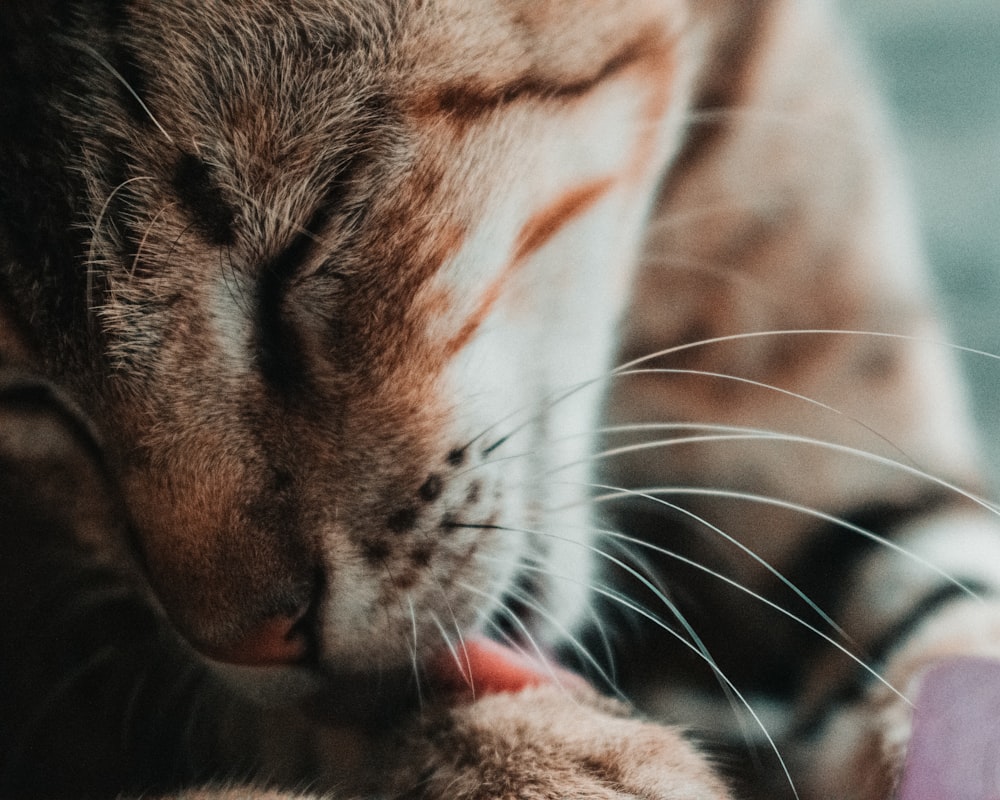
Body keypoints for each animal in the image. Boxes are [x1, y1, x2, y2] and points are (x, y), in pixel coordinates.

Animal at [1, 1, 1000, 800]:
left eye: (308, 238)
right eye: (20, 395)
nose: (254, 641)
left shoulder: (853, 453)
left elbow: (949, 606)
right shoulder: (84, 648)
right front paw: (548, 760)